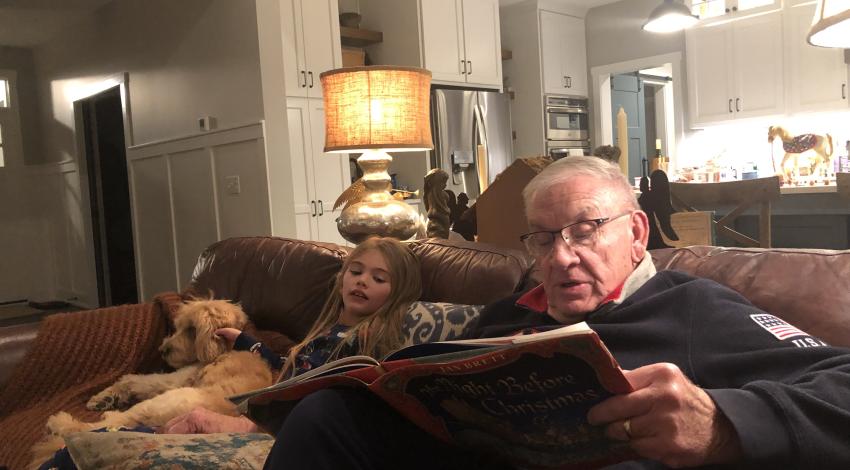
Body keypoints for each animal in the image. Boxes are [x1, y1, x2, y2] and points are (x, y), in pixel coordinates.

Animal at [30, 300, 272, 464]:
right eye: (178, 326)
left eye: (192, 330)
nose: (163, 349)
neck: (225, 350)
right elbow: (132, 381)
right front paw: (105, 397)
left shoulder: (175, 379)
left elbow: (133, 380)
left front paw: (103, 396)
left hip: (165, 401)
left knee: (102, 424)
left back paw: (62, 422)